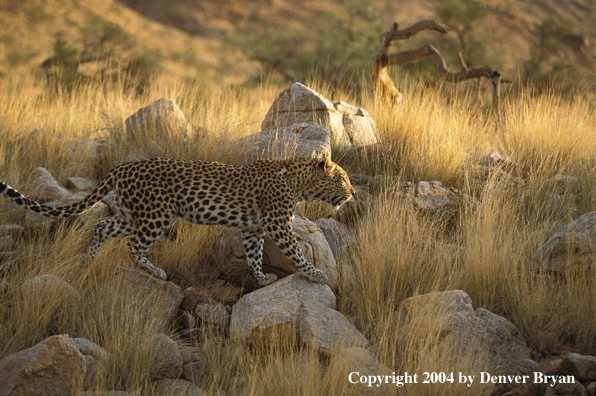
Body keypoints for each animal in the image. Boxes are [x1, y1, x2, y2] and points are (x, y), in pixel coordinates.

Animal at [0, 156, 354, 286]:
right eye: (343, 179)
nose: (351, 194)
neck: (299, 181)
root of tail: (123, 166)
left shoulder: (253, 228)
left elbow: (253, 256)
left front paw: (262, 278)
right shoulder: (277, 224)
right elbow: (295, 251)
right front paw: (315, 273)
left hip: (132, 214)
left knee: (102, 227)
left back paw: (86, 262)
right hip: (157, 214)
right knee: (133, 245)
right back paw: (154, 271)